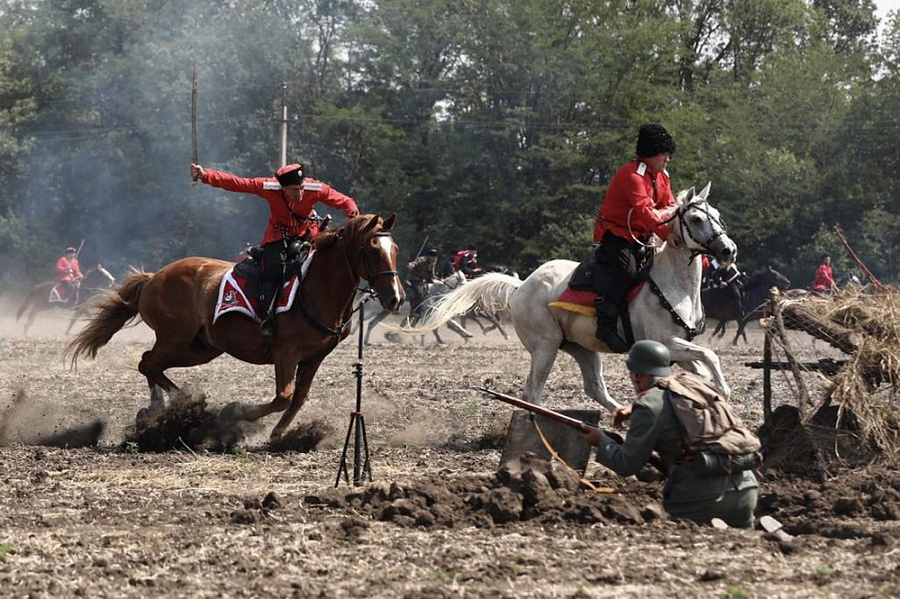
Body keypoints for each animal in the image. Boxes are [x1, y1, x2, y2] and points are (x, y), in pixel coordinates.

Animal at [68, 216, 406, 440]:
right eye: (372, 250)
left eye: (395, 249)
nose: (396, 297)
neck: (315, 288)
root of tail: (154, 277)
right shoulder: (286, 353)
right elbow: (283, 396)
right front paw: (236, 413)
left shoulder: (314, 358)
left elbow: (298, 398)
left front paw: (278, 434)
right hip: (175, 338)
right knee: (149, 364)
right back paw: (181, 406)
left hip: (200, 348)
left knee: (147, 362)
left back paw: (160, 409)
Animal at [404, 185, 736, 414]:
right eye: (696, 218)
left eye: (719, 216)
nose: (728, 250)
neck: (674, 286)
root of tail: (521, 286)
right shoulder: (665, 342)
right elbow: (711, 355)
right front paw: (722, 390)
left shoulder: (678, 348)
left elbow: (702, 364)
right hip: (546, 346)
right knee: (533, 392)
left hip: (583, 348)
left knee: (594, 388)